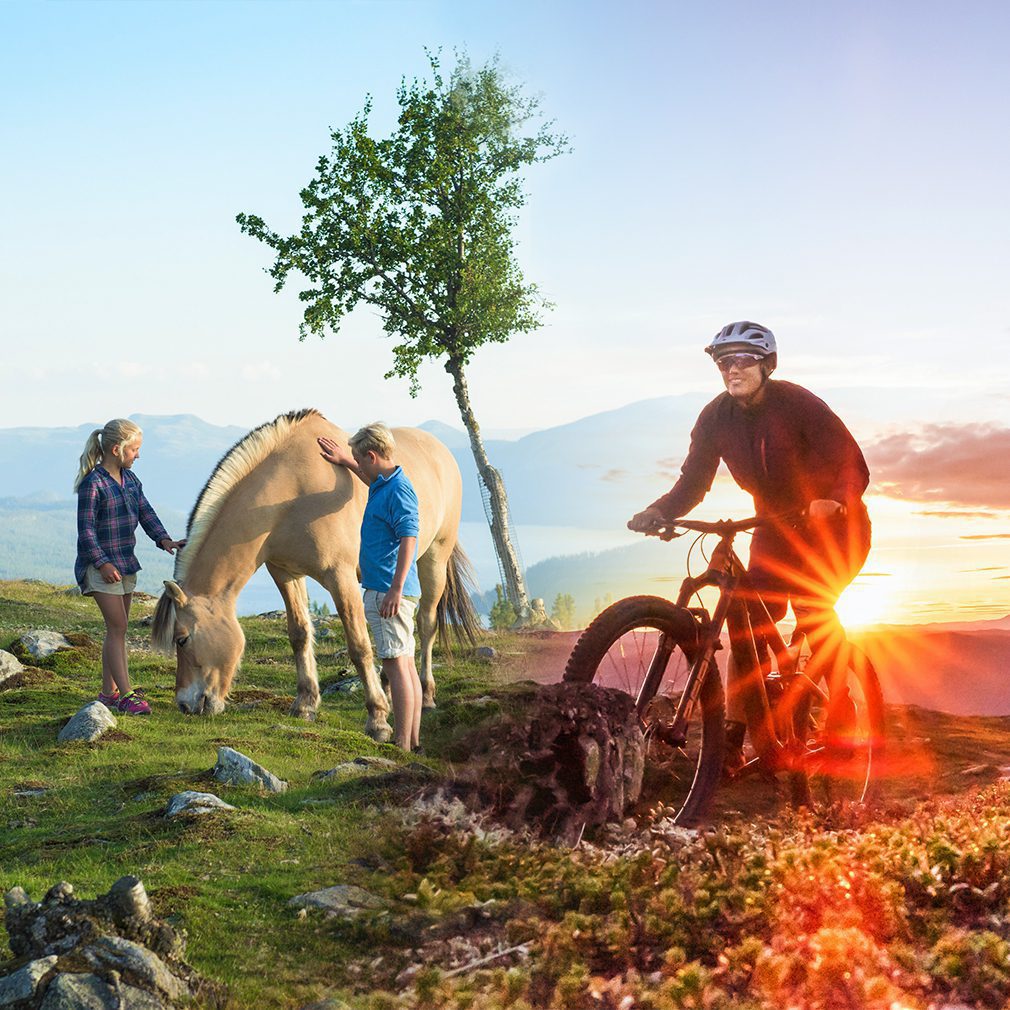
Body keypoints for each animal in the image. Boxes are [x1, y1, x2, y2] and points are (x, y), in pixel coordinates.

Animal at [151, 410, 478, 743]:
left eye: (181, 639)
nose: (184, 705)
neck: (291, 494)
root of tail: (441, 450)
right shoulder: (285, 573)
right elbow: (299, 634)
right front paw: (305, 704)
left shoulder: (340, 578)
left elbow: (359, 646)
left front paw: (377, 720)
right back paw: (389, 684)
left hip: (434, 558)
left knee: (426, 624)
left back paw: (426, 695)